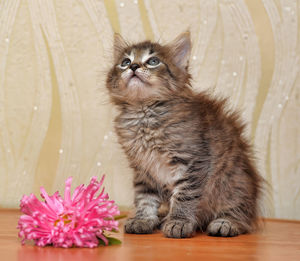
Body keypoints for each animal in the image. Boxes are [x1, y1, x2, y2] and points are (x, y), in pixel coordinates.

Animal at [106, 31, 262, 237]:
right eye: (125, 62)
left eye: (153, 61)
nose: (133, 66)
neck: (144, 113)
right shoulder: (143, 169)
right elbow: (145, 198)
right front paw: (143, 219)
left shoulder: (193, 161)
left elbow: (184, 195)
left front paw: (178, 222)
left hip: (233, 183)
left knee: (241, 214)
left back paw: (225, 223)